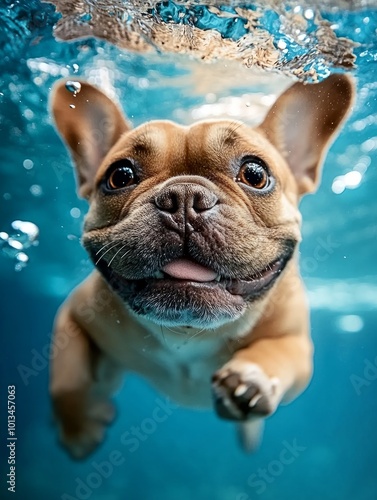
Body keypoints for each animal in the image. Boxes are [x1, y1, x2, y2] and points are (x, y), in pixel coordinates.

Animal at [49, 74, 352, 458]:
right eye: (120, 176)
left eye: (255, 174)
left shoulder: (296, 342)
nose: (183, 197)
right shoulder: (74, 315)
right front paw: (78, 428)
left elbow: (279, 352)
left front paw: (250, 378)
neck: (189, 332)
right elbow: (66, 378)